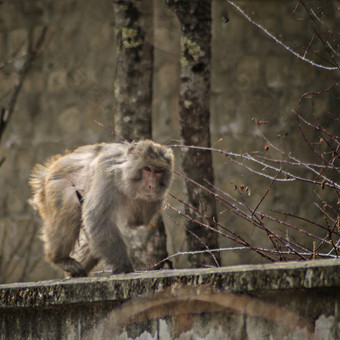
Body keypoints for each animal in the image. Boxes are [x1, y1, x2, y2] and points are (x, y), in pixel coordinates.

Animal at [27, 139, 174, 278]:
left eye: (158, 172)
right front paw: (124, 267)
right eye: (147, 169)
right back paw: (60, 259)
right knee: (70, 215)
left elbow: (137, 221)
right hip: (59, 186)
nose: (152, 186)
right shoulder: (108, 175)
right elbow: (96, 217)